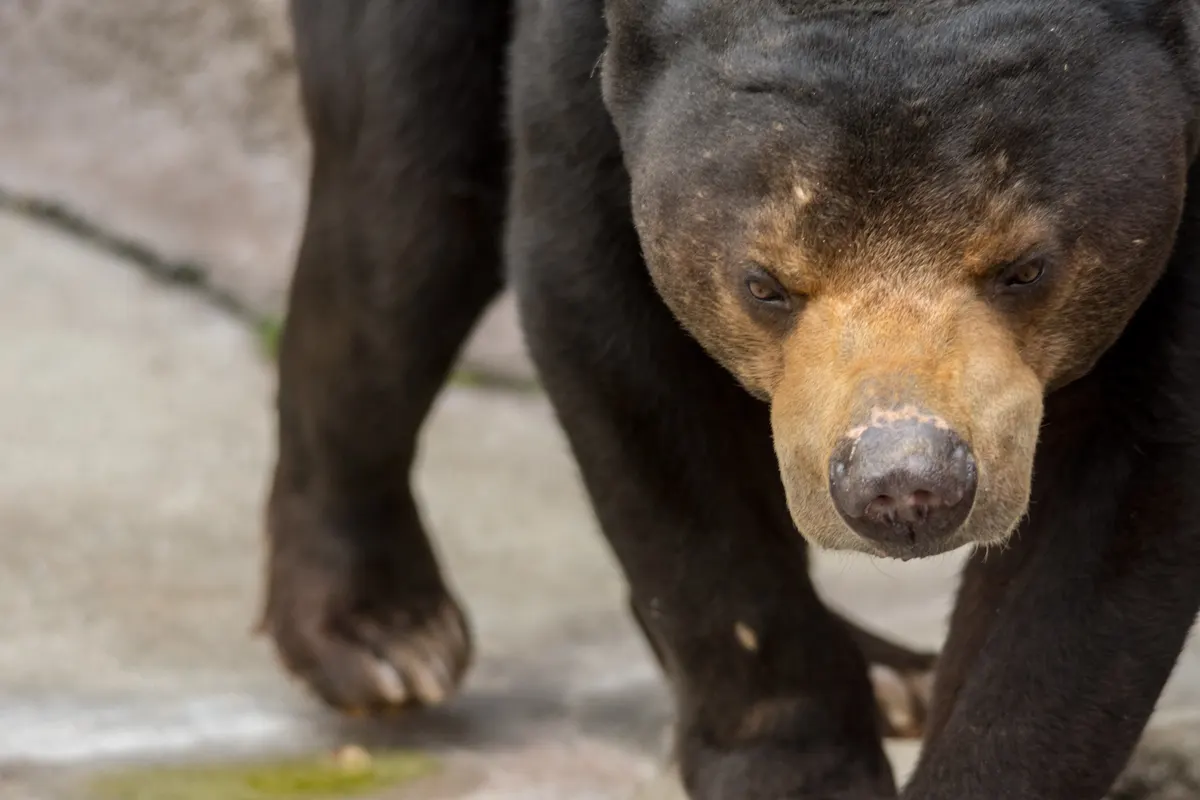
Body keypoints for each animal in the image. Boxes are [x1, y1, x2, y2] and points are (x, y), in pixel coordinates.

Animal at [259, 0, 1200, 797]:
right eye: (764, 284)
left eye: (1025, 269)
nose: (904, 486)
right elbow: (629, 361)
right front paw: (797, 772)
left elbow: (1105, 520)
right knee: (405, 215)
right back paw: (382, 634)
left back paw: (892, 672)